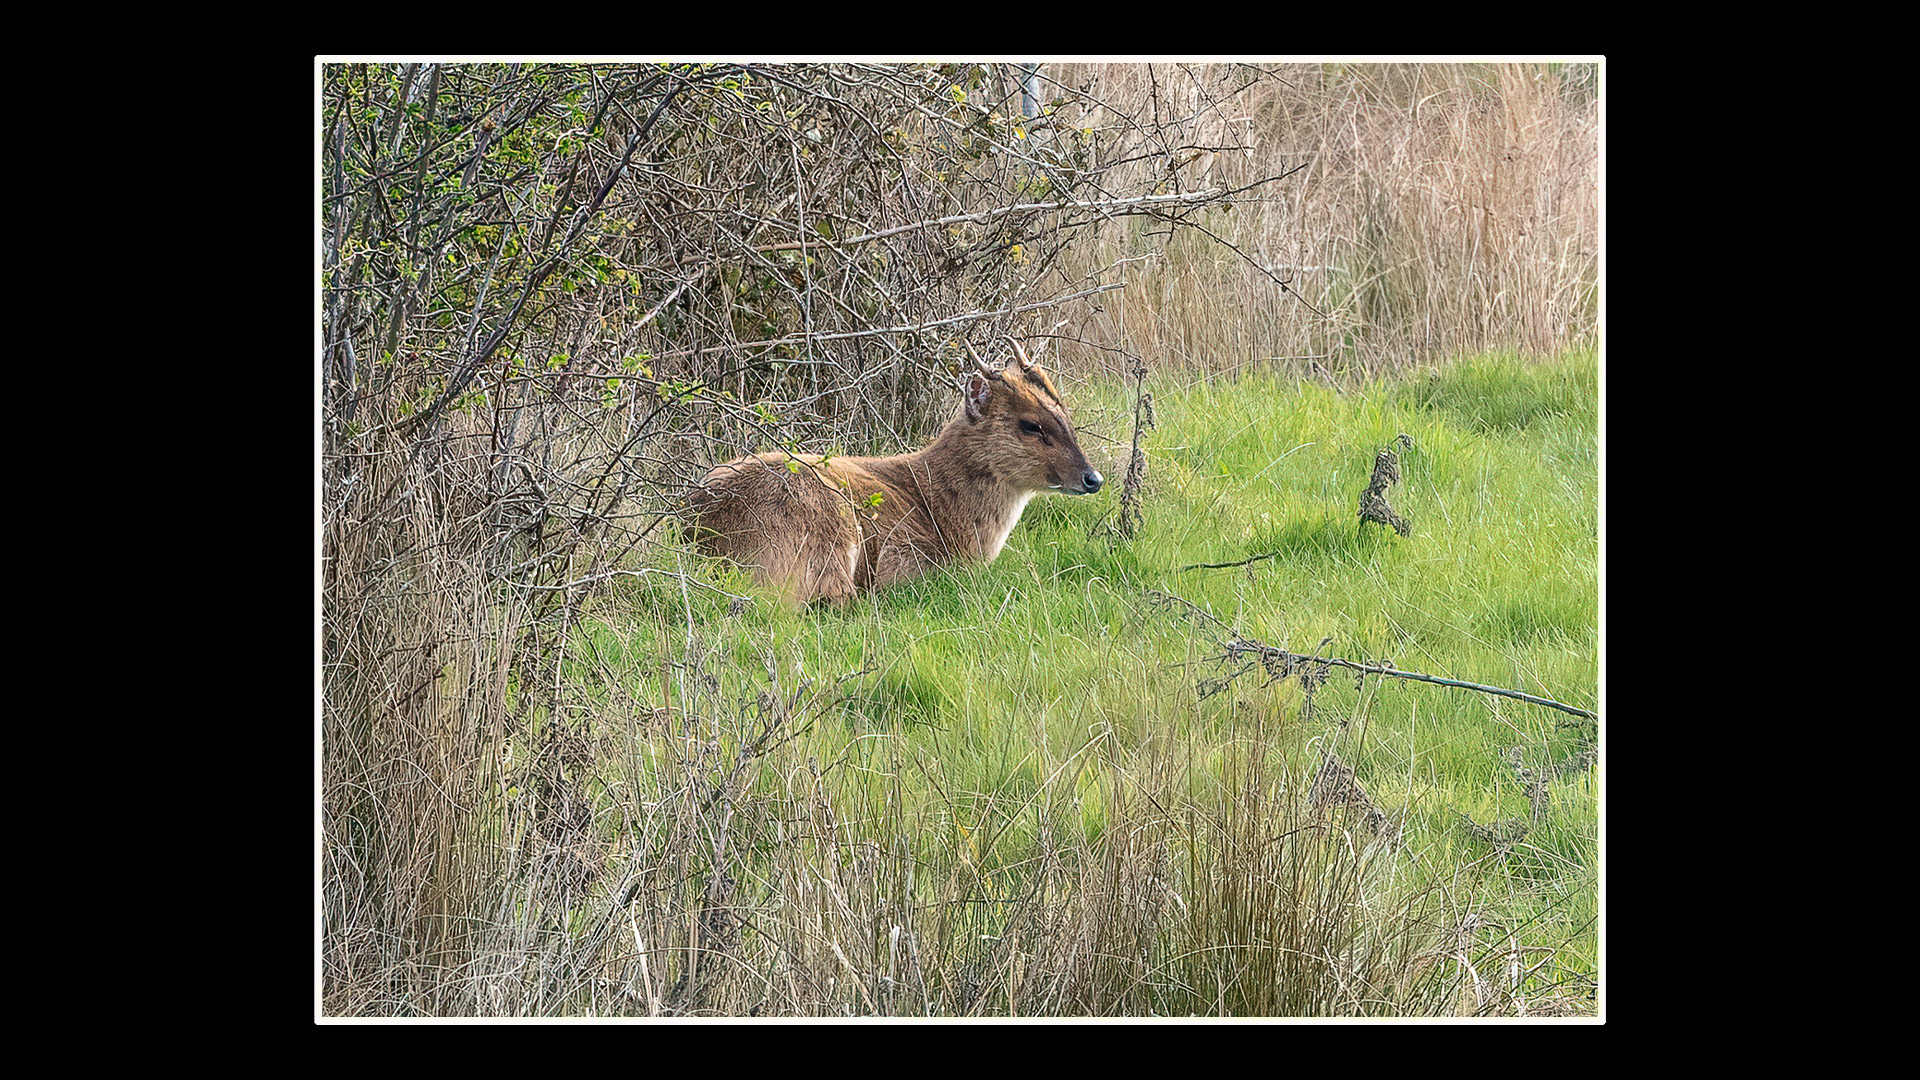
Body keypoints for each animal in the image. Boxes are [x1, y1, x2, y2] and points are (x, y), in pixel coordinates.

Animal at [686, 338, 1105, 605]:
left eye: (1065, 414)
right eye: (1031, 425)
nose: (1093, 478)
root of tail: (699, 532)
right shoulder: (905, 554)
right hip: (821, 527)